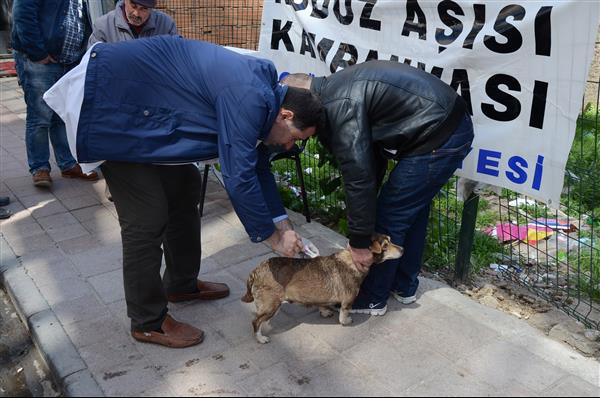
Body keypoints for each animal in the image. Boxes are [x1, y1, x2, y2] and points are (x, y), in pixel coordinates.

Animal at [240, 235, 404, 344]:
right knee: (255, 322)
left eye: (390, 240)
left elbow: (322, 304)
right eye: (385, 245)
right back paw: (261, 337)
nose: (403, 249)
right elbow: (344, 315)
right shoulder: (347, 301)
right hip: (271, 305)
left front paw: (324, 311)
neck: (351, 259)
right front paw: (346, 321)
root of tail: (256, 271)